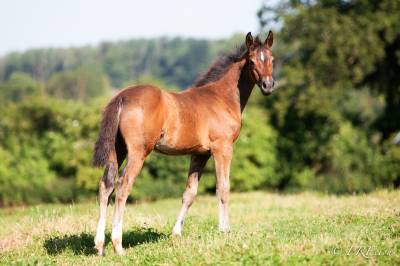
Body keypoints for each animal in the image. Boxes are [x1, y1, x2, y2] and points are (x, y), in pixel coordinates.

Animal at [93, 31, 276, 256]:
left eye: (272, 59)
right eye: (251, 61)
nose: (268, 85)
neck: (221, 98)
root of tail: (121, 97)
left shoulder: (200, 153)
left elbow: (190, 193)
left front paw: (176, 233)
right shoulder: (222, 148)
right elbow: (223, 187)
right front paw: (225, 230)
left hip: (116, 150)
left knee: (106, 186)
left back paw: (99, 246)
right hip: (138, 152)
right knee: (123, 186)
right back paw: (118, 245)